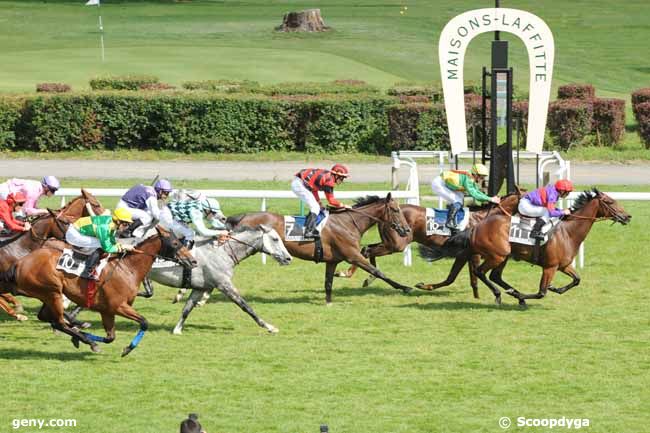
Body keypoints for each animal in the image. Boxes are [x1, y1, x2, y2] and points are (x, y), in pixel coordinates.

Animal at [0, 226, 196, 354]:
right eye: (175, 243)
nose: (193, 261)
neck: (128, 268)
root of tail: (21, 262)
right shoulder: (118, 306)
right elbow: (144, 322)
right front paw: (127, 349)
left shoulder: (107, 310)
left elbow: (111, 337)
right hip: (52, 292)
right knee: (59, 322)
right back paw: (84, 338)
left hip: (46, 294)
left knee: (48, 318)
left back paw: (80, 333)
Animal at [149, 224, 292, 336]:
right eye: (275, 239)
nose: (288, 258)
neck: (221, 252)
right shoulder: (224, 284)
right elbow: (246, 306)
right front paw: (269, 327)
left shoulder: (199, 288)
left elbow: (187, 308)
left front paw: (177, 330)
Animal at [228, 193, 410, 304]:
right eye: (396, 210)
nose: (407, 230)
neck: (348, 223)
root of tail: (242, 216)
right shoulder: (352, 255)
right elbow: (378, 272)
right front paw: (404, 287)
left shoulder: (332, 260)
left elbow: (328, 282)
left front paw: (328, 302)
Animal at [420, 187, 628, 306]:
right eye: (610, 202)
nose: (627, 216)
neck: (568, 232)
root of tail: (476, 226)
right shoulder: (550, 267)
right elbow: (541, 292)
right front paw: (526, 297)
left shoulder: (564, 265)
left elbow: (577, 280)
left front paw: (556, 289)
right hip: (497, 255)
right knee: (481, 272)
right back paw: (501, 294)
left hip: (503, 256)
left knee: (495, 275)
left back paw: (512, 292)